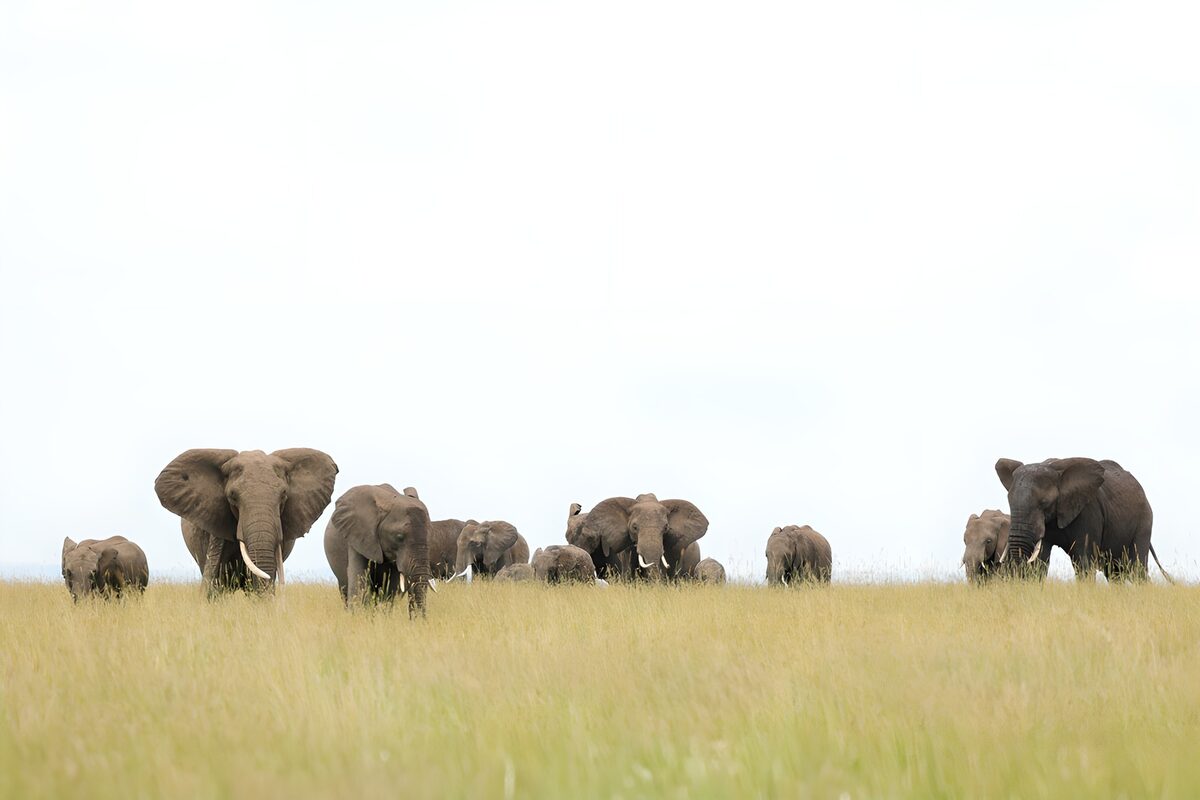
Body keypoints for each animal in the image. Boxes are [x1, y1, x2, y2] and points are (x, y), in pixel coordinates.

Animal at [996, 457, 1171, 582]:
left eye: (1044, 503)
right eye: (1009, 501)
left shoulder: (1088, 512)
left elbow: (1083, 562)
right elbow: (1040, 562)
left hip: (1144, 521)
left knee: (1137, 569)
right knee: (1114, 573)